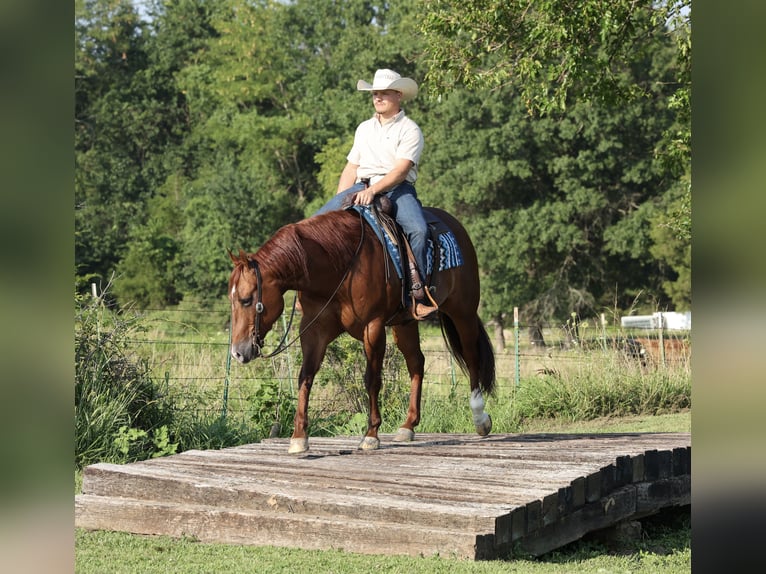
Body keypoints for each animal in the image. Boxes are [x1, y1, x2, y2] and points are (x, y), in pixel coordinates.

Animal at [228, 206, 495, 454]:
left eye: (246, 300)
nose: (238, 352)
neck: (339, 265)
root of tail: (454, 225)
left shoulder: (373, 327)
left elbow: (372, 379)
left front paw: (371, 434)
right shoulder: (315, 330)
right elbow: (305, 377)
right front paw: (299, 437)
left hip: (463, 311)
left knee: (471, 356)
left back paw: (480, 418)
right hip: (405, 324)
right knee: (417, 362)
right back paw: (408, 426)